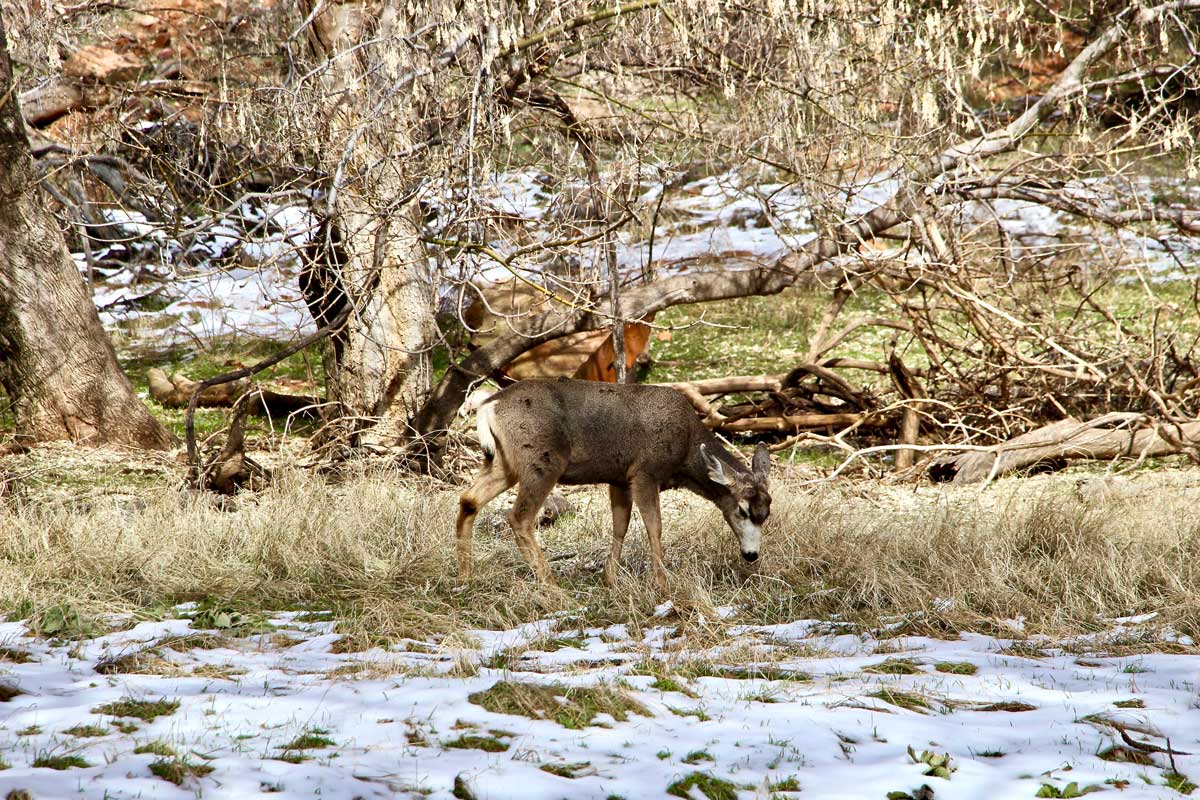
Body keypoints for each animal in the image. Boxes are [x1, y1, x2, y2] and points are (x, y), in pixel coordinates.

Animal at [453, 379, 772, 592]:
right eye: (742, 510)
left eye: (766, 512)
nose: (752, 555)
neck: (685, 452)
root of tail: (489, 406)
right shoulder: (644, 472)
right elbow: (654, 527)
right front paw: (661, 582)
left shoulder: (619, 478)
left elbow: (621, 525)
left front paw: (611, 578)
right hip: (542, 460)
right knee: (519, 516)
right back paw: (551, 584)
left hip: (505, 463)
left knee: (469, 500)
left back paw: (465, 576)